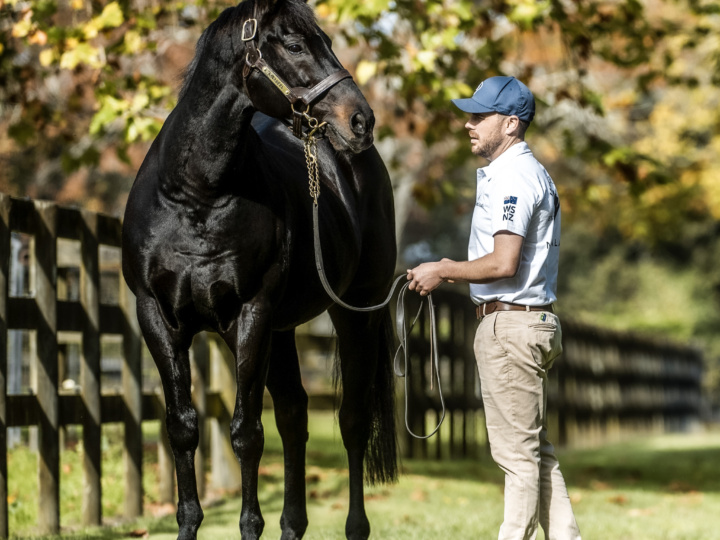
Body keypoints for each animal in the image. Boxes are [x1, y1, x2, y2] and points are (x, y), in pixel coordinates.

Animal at [121, 1, 396, 540]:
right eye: (293, 44)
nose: (360, 120)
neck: (196, 197)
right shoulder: (157, 318)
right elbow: (182, 427)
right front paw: (188, 526)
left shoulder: (251, 315)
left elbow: (246, 433)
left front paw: (250, 527)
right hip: (284, 331)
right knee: (294, 414)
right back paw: (293, 524)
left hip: (354, 315)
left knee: (352, 421)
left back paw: (355, 527)